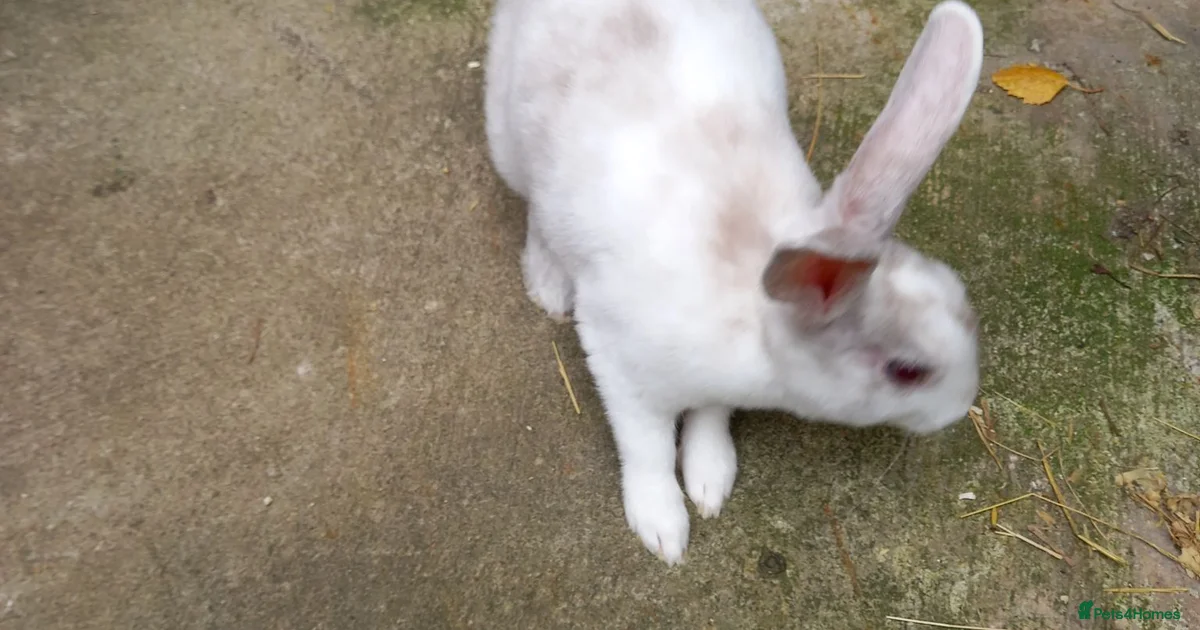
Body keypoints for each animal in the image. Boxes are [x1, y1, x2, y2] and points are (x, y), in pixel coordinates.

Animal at [484, 0, 983, 565]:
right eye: (906, 371)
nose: (960, 408)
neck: (756, 312)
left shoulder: (712, 389)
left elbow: (710, 417)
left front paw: (710, 481)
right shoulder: (620, 368)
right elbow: (647, 448)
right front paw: (663, 528)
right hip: (509, 144)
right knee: (533, 212)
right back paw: (548, 284)